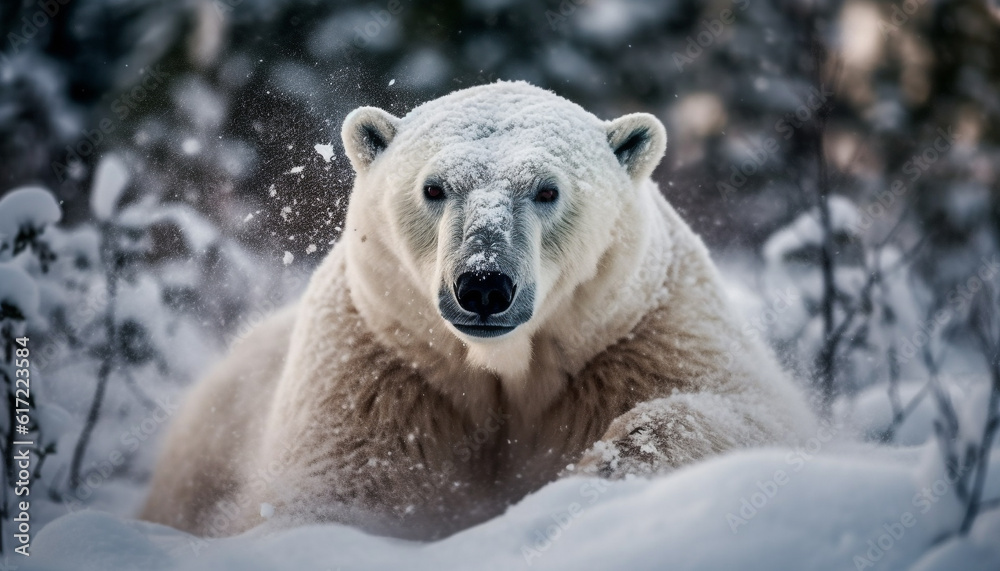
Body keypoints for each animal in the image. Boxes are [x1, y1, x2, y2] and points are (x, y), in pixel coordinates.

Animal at [139, 80, 812, 540]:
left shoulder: (643, 335)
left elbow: (730, 417)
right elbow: (340, 484)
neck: (503, 368)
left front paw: (583, 486)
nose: (484, 285)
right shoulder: (382, 365)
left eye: (547, 189)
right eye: (434, 188)